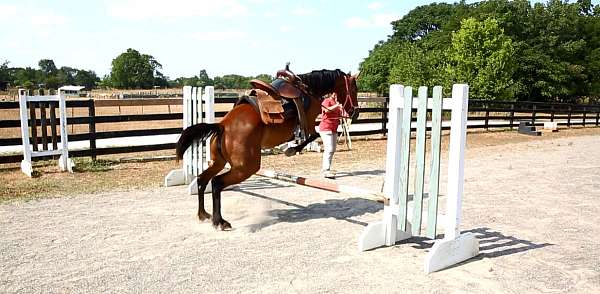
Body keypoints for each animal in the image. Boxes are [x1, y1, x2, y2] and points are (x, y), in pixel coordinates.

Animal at [176, 69, 358, 230]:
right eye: (354, 88)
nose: (354, 112)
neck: (308, 89)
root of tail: (222, 126)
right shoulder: (310, 123)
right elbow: (313, 135)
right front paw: (291, 150)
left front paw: (292, 149)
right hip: (246, 168)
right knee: (216, 183)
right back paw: (219, 221)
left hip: (219, 162)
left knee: (202, 179)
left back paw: (203, 215)